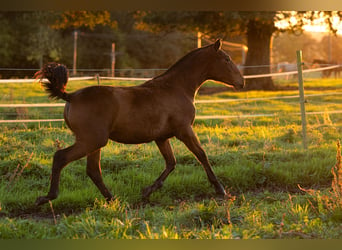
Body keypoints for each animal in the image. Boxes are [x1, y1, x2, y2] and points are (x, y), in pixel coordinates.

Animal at [34, 39, 244, 205]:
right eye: (227, 59)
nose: (241, 82)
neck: (176, 88)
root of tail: (70, 96)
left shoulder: (162, 138)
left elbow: (171, 163)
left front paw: (147, 191)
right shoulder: (184, 130)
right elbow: (201, 155)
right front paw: (220, 189)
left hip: (94, 143)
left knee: (93, 170)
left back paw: (112, 199)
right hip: (91, 141)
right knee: (61, 157)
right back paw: (46, 197)